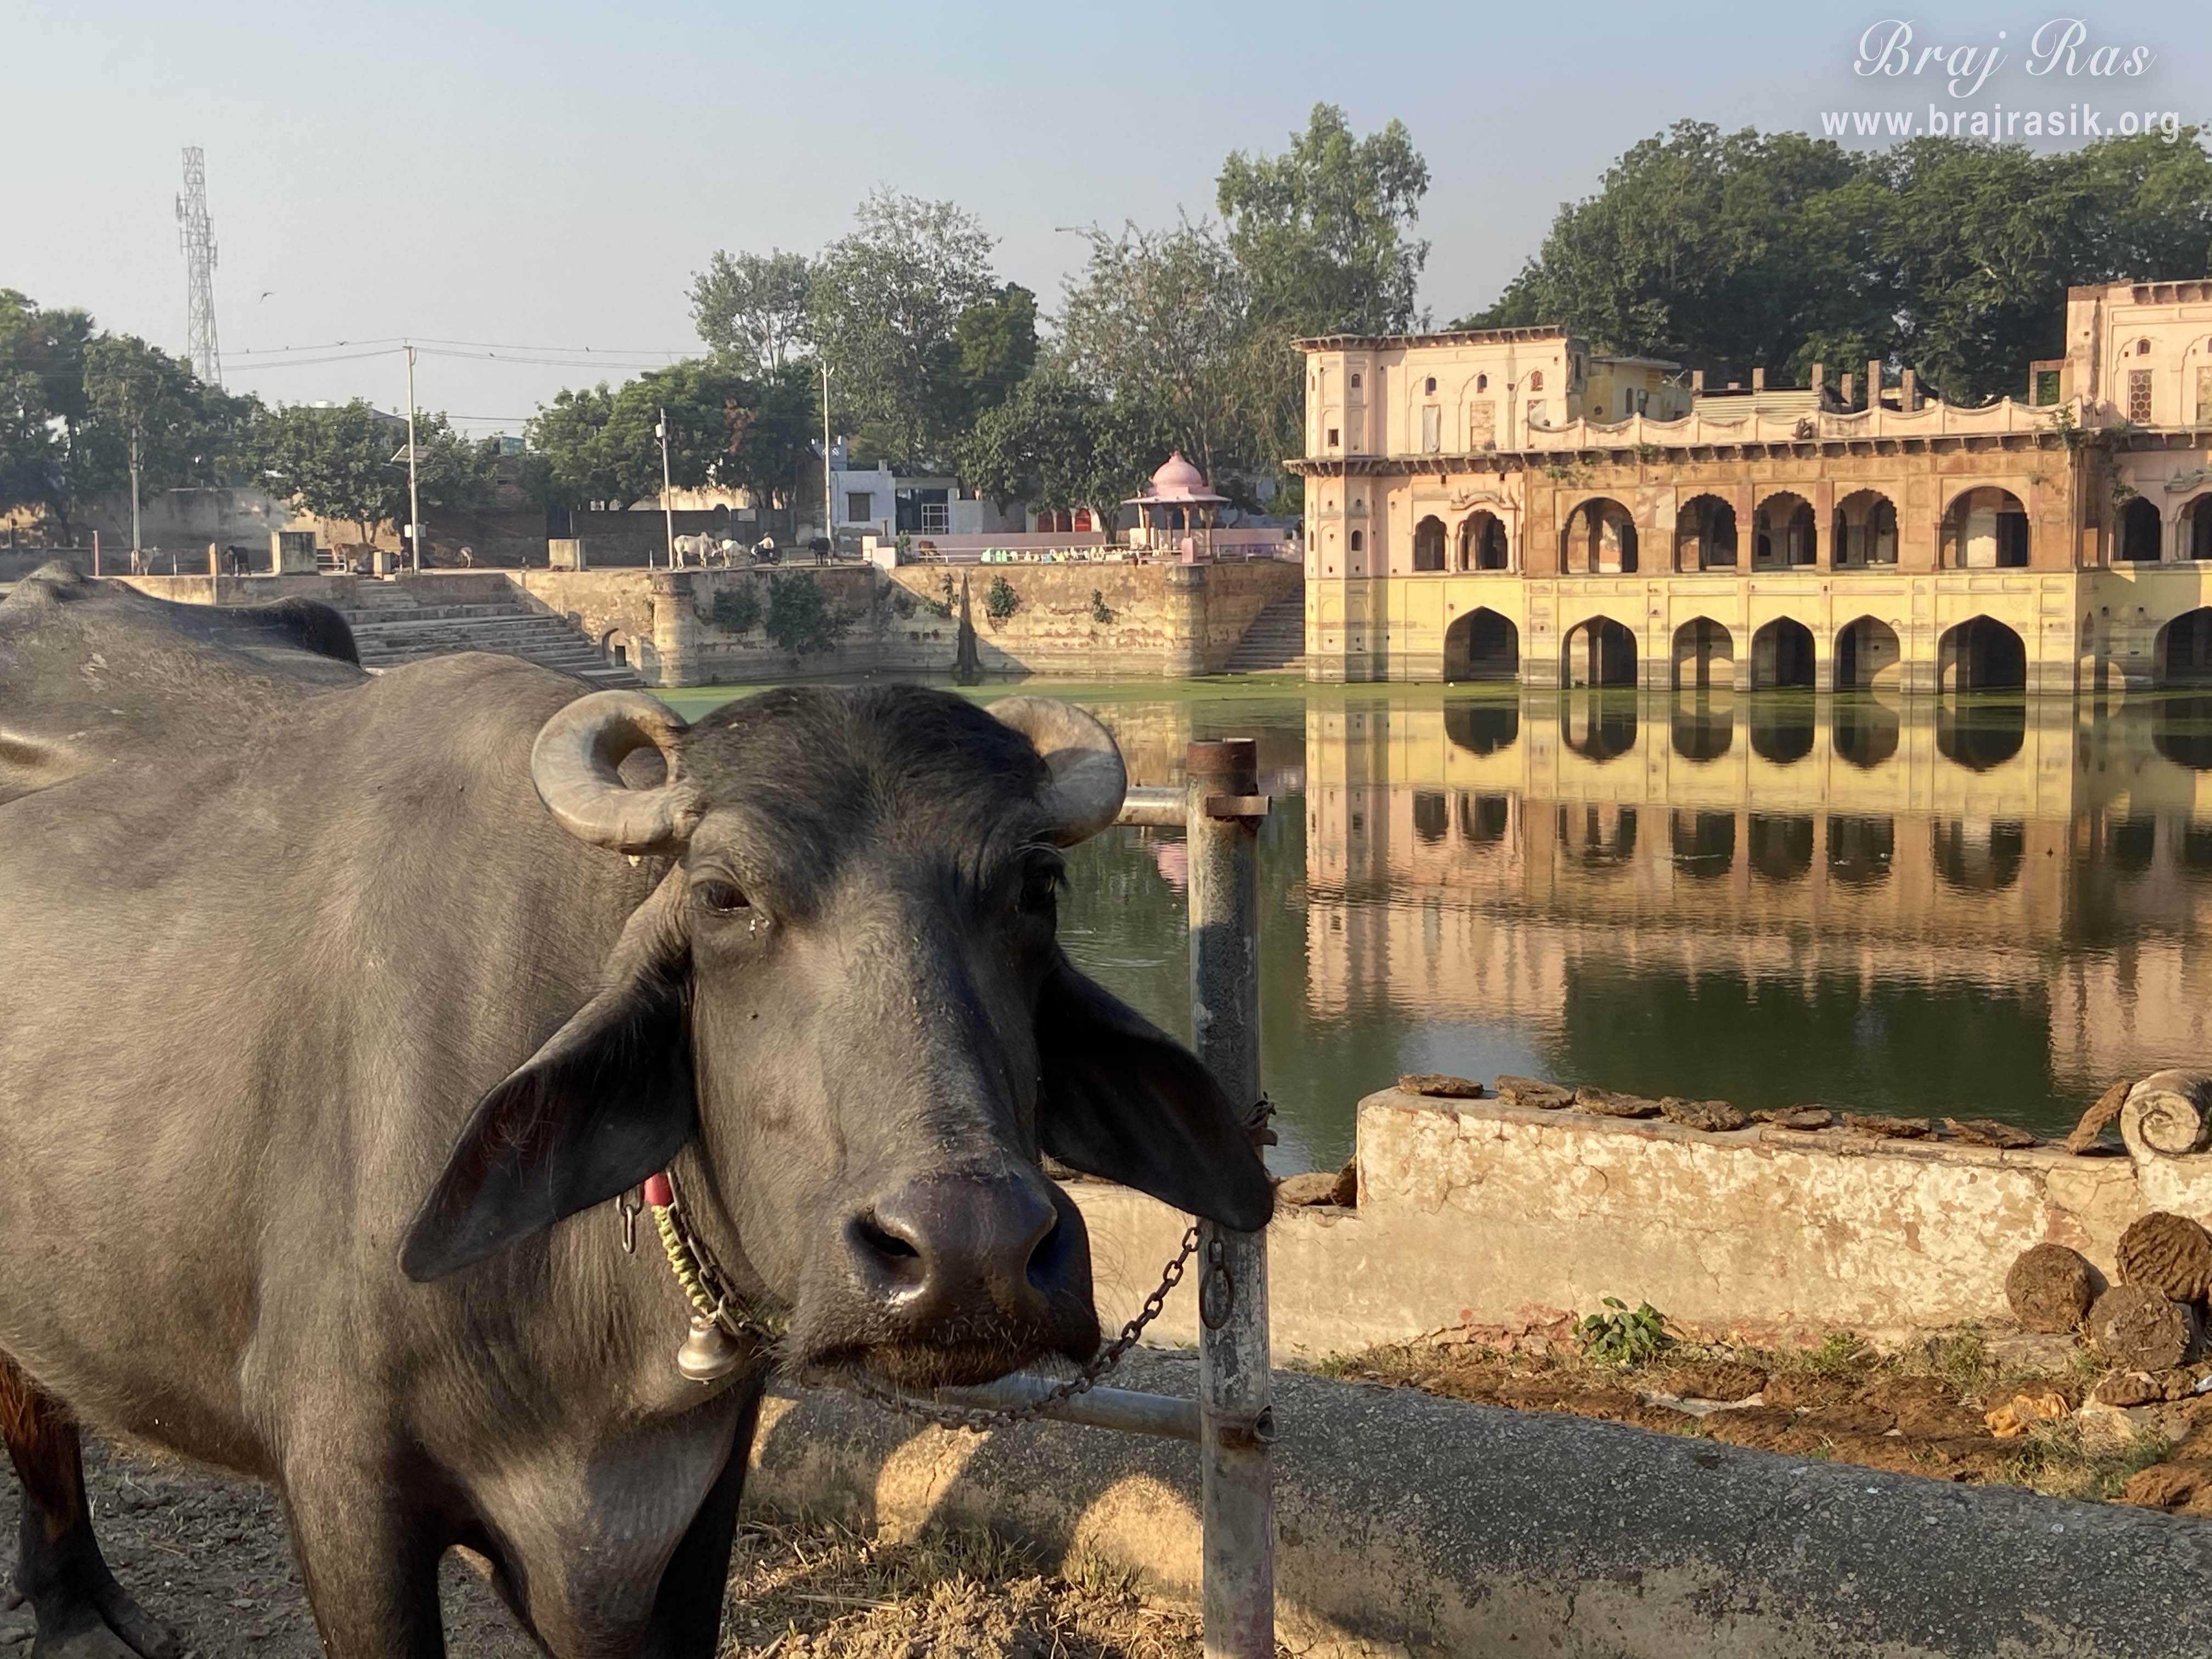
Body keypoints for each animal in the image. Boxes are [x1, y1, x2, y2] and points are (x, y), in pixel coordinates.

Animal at [0, 565, 1270, 1657]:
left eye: (1036, 888)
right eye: (722, 896)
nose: (971, 1252)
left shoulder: (694, 1495)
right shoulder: (342, 1485)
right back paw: (78, 1613)